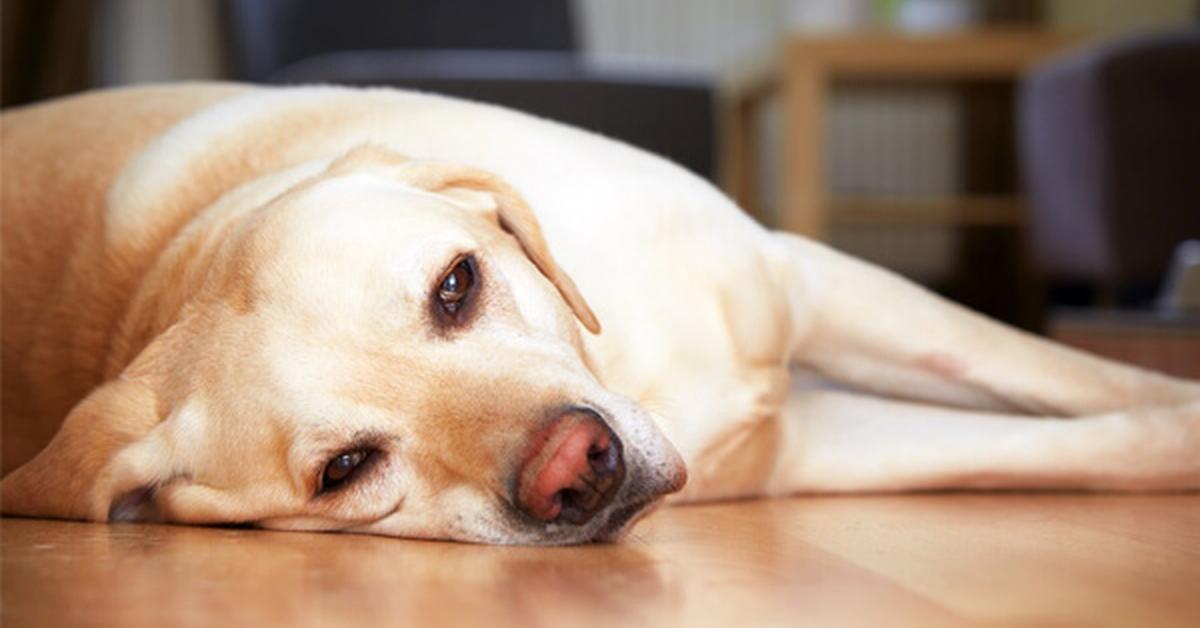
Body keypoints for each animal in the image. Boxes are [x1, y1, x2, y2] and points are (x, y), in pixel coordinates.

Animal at [7, 84, 1200, 545]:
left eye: (456, 284)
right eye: (346, 470)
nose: (575, 470)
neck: (625, 357)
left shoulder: (806, 279)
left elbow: (1078, 381)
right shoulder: (811, 445)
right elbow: (1083, 444)